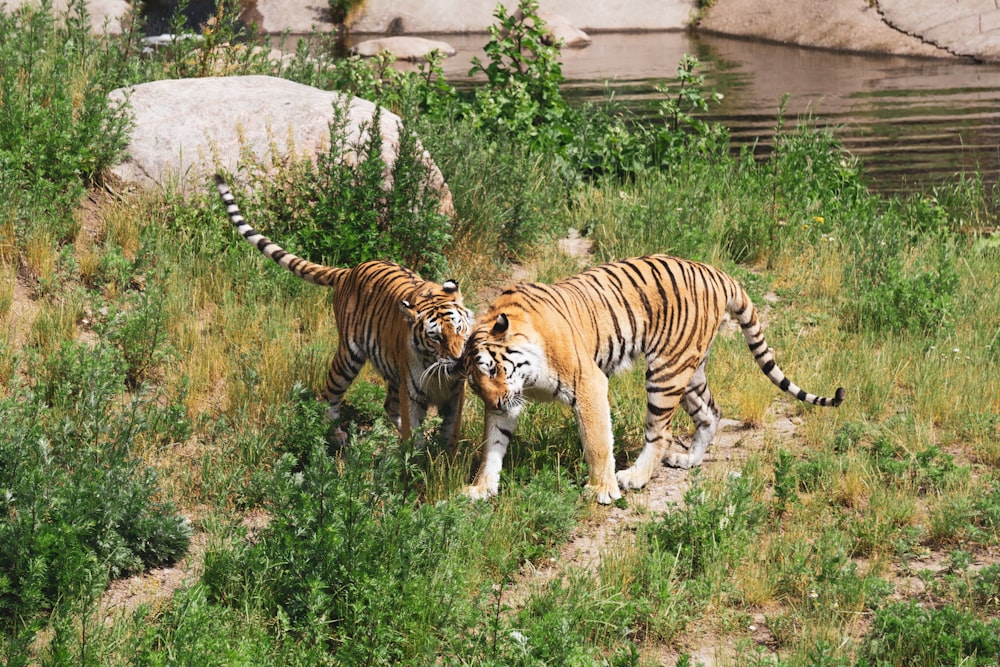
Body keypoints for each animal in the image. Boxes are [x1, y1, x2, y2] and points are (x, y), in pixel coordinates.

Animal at [215, 176, 472, 448]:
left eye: (459, 329)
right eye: (435, 337)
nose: (458, 359)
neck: (439, 371)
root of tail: (350, 270)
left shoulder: (456, 392)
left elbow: (451, 431)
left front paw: (446, 456)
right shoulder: (412, 393)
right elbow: (414, 437)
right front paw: (417, 456)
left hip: (391, 370)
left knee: (389, 406)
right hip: (348, 356)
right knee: (330, 394)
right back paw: (336, 434)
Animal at [460, 253, 844, 504]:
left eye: (492, 368)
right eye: (475, 386)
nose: (496, 401)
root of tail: (717, 272)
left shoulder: (588, 383)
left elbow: (597, 441)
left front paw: (602, 489)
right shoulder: (508, 404)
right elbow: (493, 444)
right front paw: (480, 489)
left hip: (666, 371)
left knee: (661, 434)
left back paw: (634, 477)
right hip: (689, 370)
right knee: (711, 412)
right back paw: (689, 460)